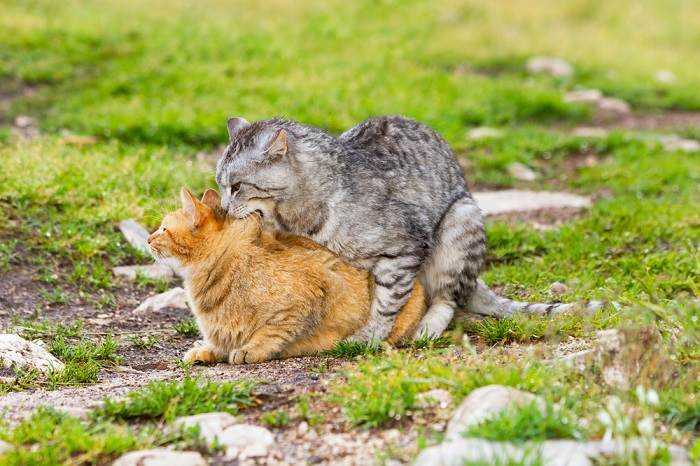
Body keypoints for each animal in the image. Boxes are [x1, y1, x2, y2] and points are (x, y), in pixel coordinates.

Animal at [146, 187, 426, 364]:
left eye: (163, 229)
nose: (148, 239)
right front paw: (206, 350)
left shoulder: (316, 287)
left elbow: (273, 331)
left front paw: (250, 349)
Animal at [216, 116, 584, 340]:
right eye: (219, 184)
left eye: (236, 187)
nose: (223, 208)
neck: (299, 220)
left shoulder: (404, 249)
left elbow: (387, 300)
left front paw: (369, 336)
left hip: (460, 224)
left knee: (449, 297)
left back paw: (428, 328)